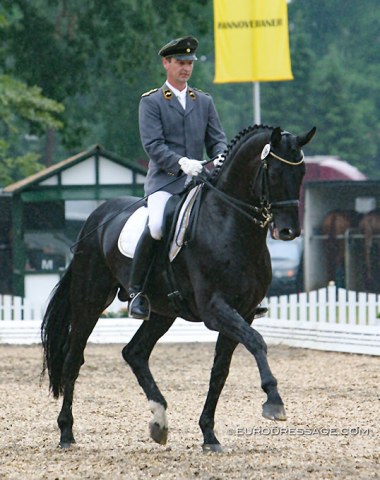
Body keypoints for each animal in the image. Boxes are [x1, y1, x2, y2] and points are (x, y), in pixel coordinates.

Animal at [40, 124, 314, 450]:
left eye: (301, 173)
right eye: (273, 173)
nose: (288, 231)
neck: (230, 225)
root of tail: (96, 216)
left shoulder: (243, 311)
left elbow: (220, 371)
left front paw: (209, 434)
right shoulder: (215, 309)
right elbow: (257, 342)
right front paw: (273, 401)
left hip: (161, 312)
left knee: (134, 353)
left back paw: (159, 421)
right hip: (89, 301)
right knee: (74, 359)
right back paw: (66, 433)